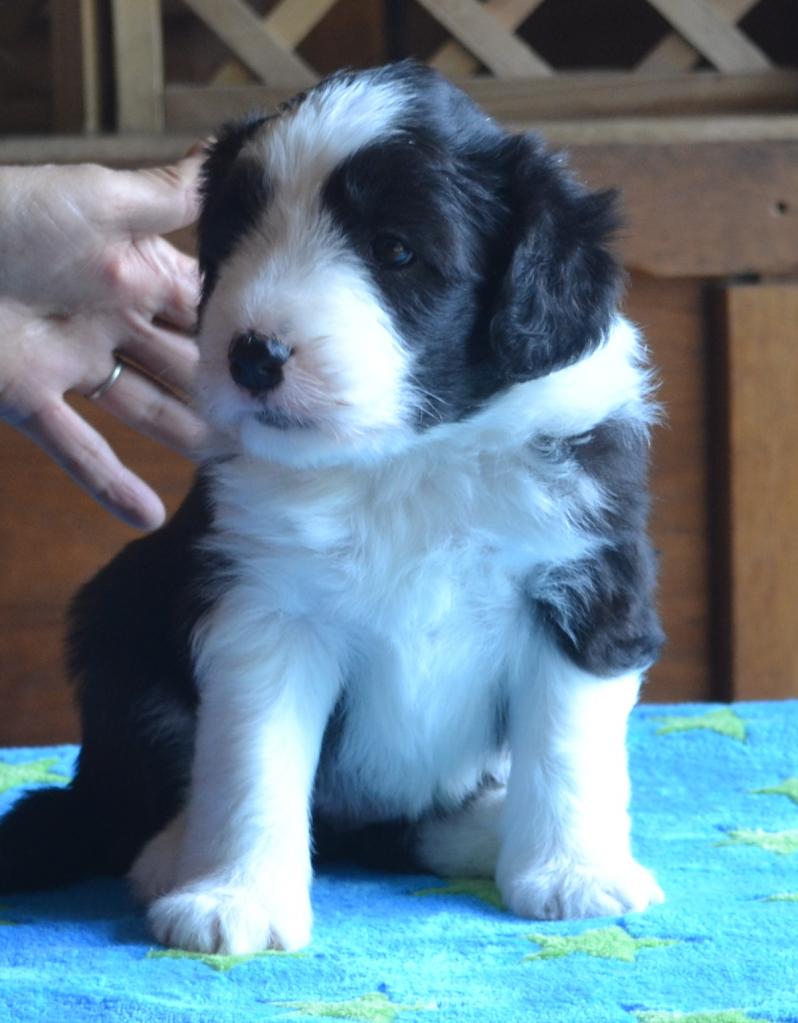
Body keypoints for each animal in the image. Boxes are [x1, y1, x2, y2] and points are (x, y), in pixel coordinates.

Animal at [0, 63, 662, 953]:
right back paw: (175, 853)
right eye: (236, 234)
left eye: (396, 250)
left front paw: (575, 873)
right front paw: (237, 896)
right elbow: (254, 762)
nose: (252, 355)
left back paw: (483, 828)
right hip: (117, 622)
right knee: (118, 806)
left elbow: (568, 746)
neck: (407, 459)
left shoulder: (586, 585)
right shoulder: (265, 612)